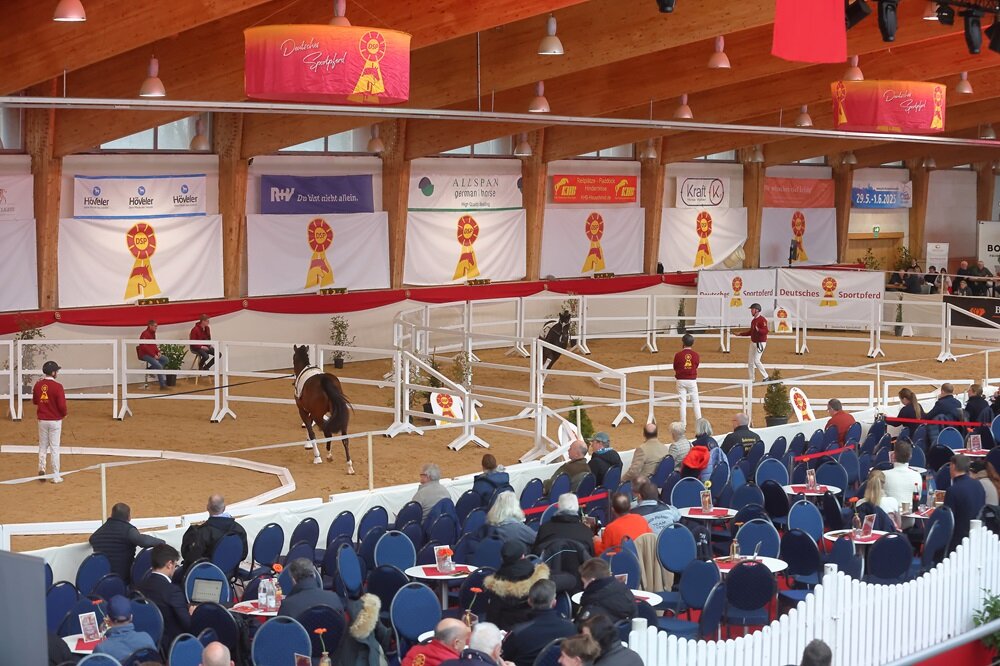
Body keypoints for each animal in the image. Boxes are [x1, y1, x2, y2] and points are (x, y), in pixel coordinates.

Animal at [292, 345, 354, 473]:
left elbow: (311, 431)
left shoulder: (303, 411)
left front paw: (316, 456)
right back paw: (349, 466)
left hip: (318, 415)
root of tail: (325, 380)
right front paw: (308, 444)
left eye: (293, 357)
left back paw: (327, 456)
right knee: (345, 439)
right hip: (340, 415)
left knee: (328, 432)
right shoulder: (311, 412)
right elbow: (309, 426)